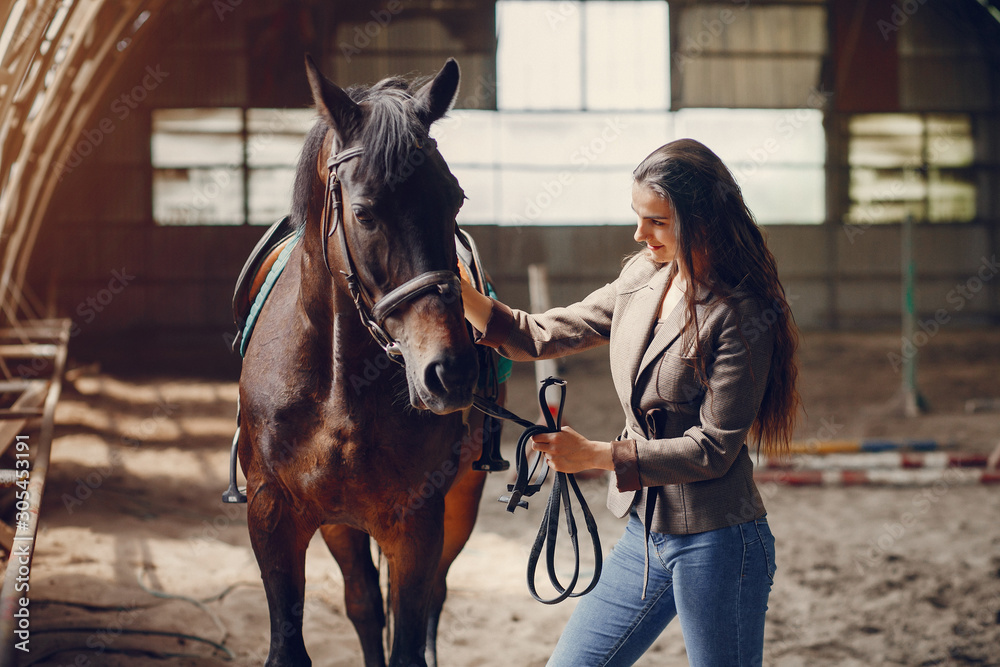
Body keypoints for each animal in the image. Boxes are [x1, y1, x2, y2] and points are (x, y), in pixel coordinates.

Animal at [237, 56, 503, 667]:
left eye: (454, 200)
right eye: (363, 214)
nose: (451, 372)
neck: (340, 383)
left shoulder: (417, 522)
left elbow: (410, 634)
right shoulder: (272, 515)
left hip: (459, 504)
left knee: (433, 597)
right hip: (341, 524)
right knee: (362, 602)